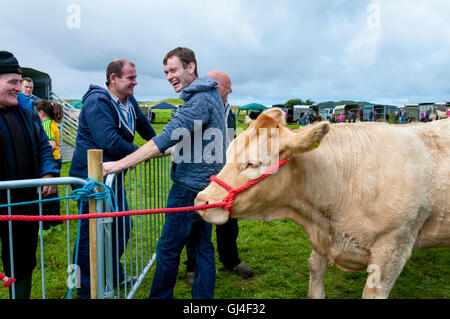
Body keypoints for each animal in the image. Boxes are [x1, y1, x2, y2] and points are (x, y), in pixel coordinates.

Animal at [195, 109, 448, 300]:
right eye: (229, 153)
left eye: (253, 164)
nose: (201, 200)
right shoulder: (321, 233)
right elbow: (315, 269)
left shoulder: (393, 246)